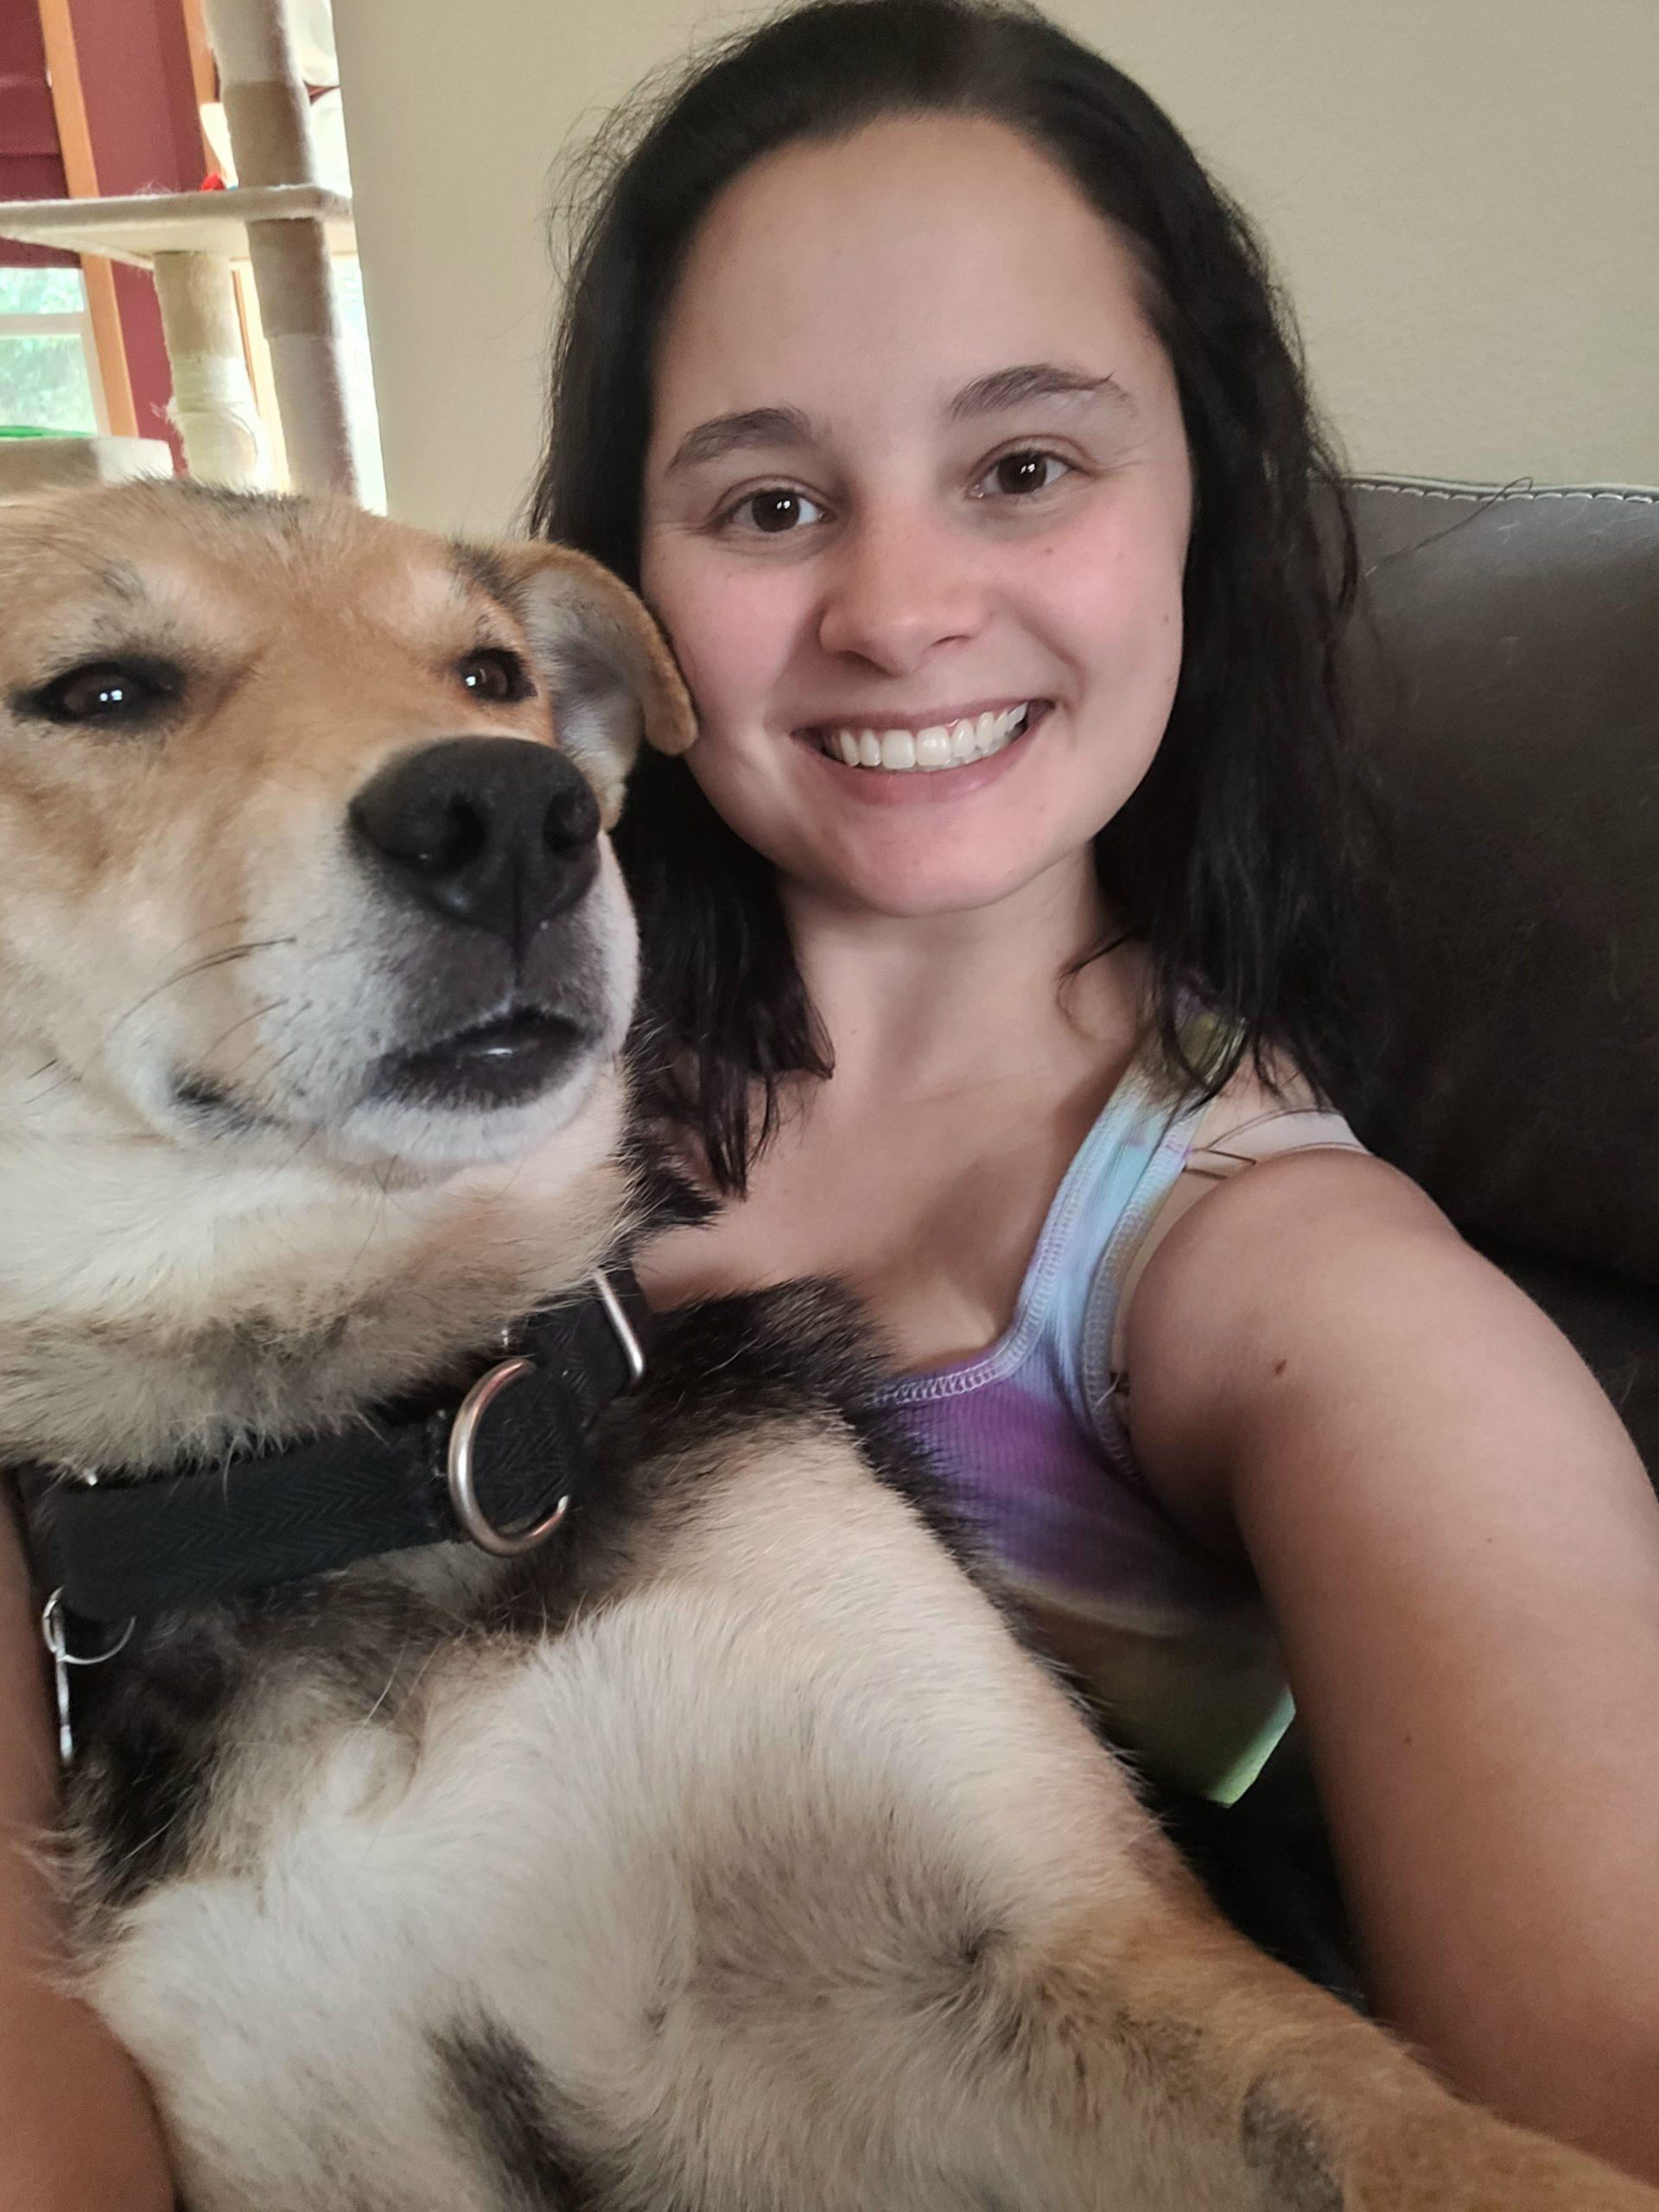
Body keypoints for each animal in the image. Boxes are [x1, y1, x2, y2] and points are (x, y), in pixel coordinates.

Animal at [3, 488, 1654, 2212]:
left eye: (490, 677)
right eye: (101, 691)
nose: (515, 814)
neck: (385, 1453)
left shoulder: (1057, 1918)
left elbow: (1442, 2150)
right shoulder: (324, 2131)